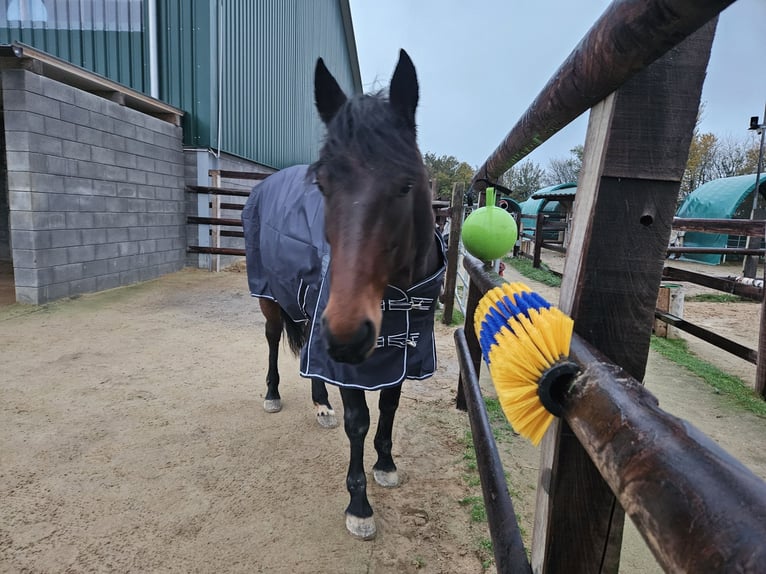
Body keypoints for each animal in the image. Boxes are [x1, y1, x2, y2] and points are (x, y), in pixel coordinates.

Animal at [241, 49, 445, 539]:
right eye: (324, 185)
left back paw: (320, 404)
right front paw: (359, 505)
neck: (399, 293)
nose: (347, 337)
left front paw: (386, 464)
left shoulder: (400, 351)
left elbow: (389, 404)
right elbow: (359, 422)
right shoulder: (352, 362)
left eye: (406, 184)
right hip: (273, 299)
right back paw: (273, 394)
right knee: (274, 340)